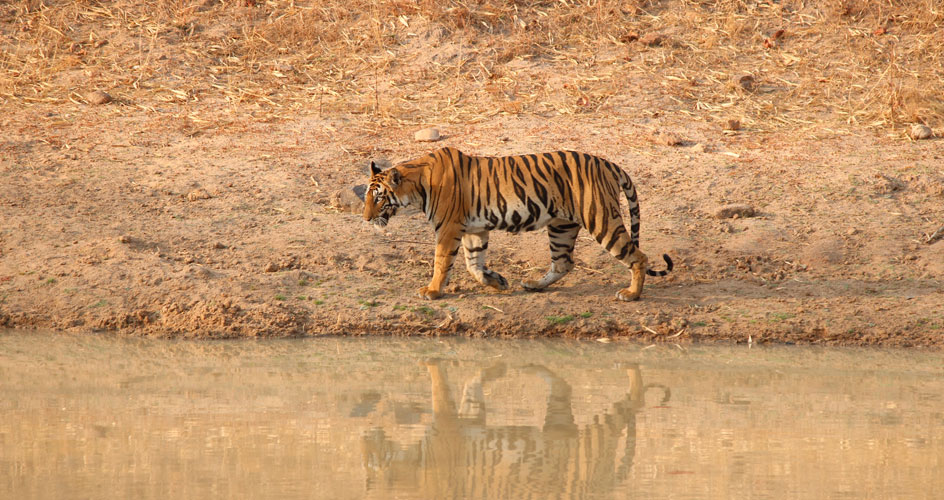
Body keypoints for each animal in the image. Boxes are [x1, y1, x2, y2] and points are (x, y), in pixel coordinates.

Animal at [364, 146, 672, 300]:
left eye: (378, 198)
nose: (366, 218)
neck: (416, 187)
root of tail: (609, 163)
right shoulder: (474, 229)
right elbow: (473, 263)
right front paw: (497, 282)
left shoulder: (449, 228)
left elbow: (442, 262)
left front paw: (432, 291)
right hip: (561, 226)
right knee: (563, 263)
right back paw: (534, 285)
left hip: (601, 219)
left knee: (638, 257)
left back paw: (631, 294)